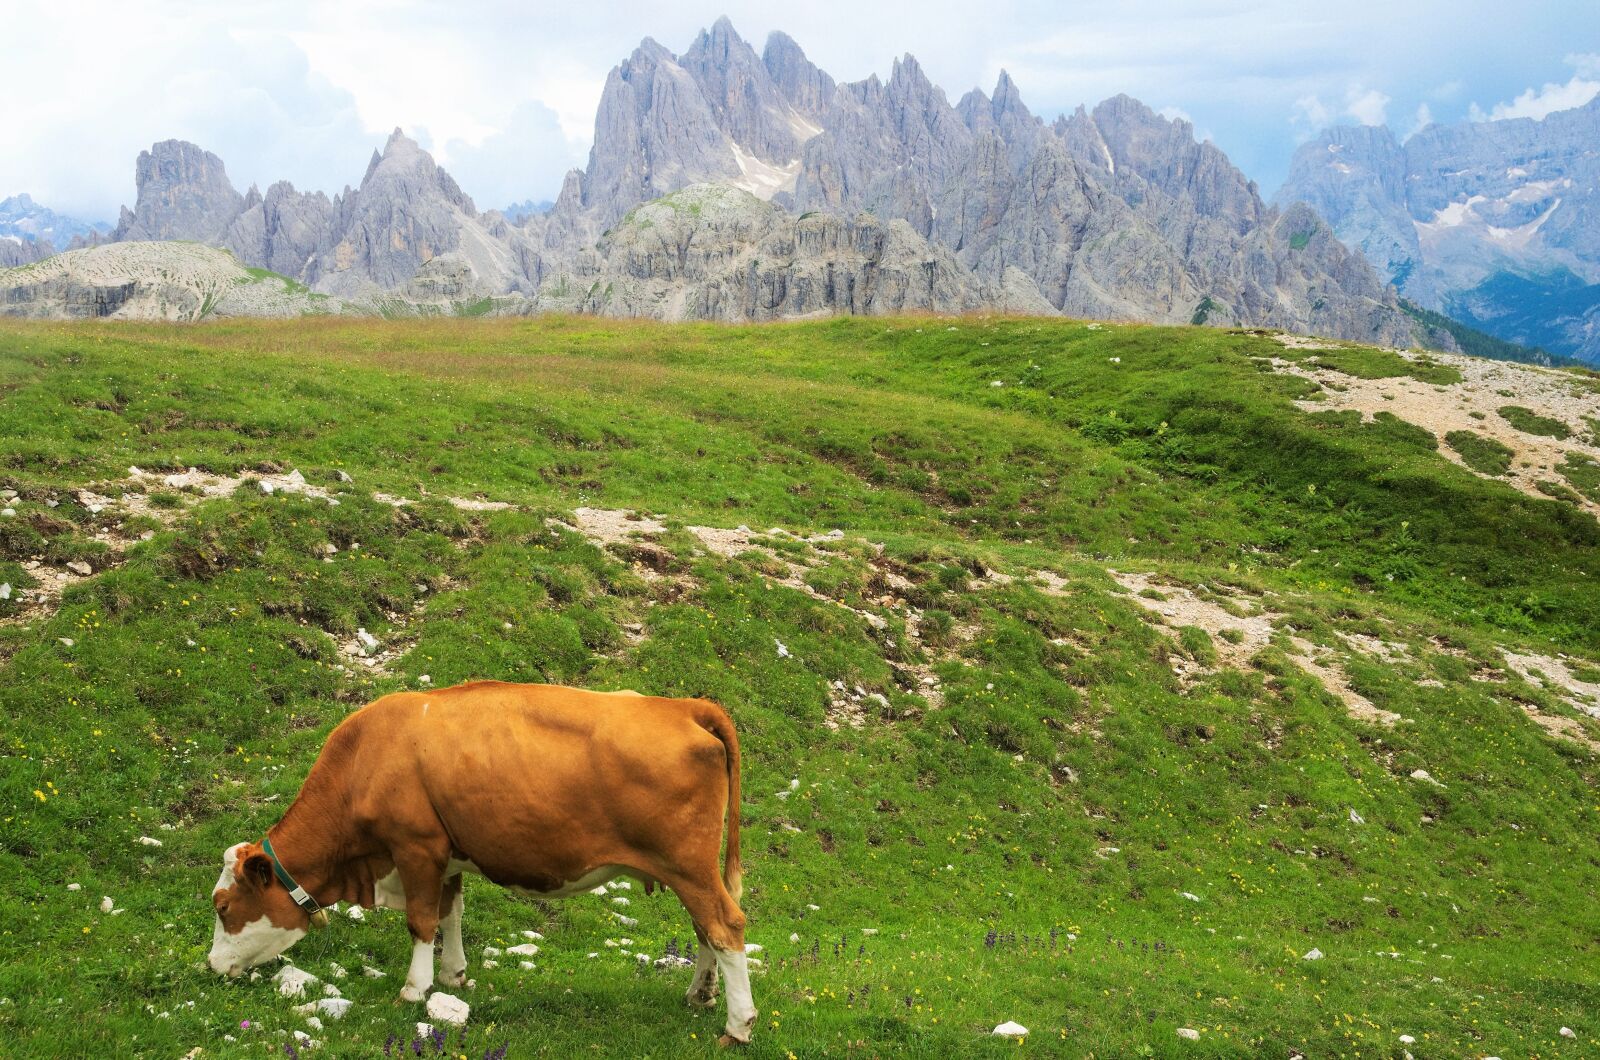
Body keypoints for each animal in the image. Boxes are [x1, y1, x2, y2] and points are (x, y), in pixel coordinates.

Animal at [207, 680, 757, 1045]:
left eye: (223, 907)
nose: (211, 966)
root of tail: (684, 706)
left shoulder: (416, 847)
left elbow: (421, 920)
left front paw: (414, 990)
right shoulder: (447, 855)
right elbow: (451, 913)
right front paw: (453, 976)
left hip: (688, 866)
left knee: (725, 926)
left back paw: (738, 1025)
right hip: (692, 871)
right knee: (706, 930)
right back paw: (700, 995)